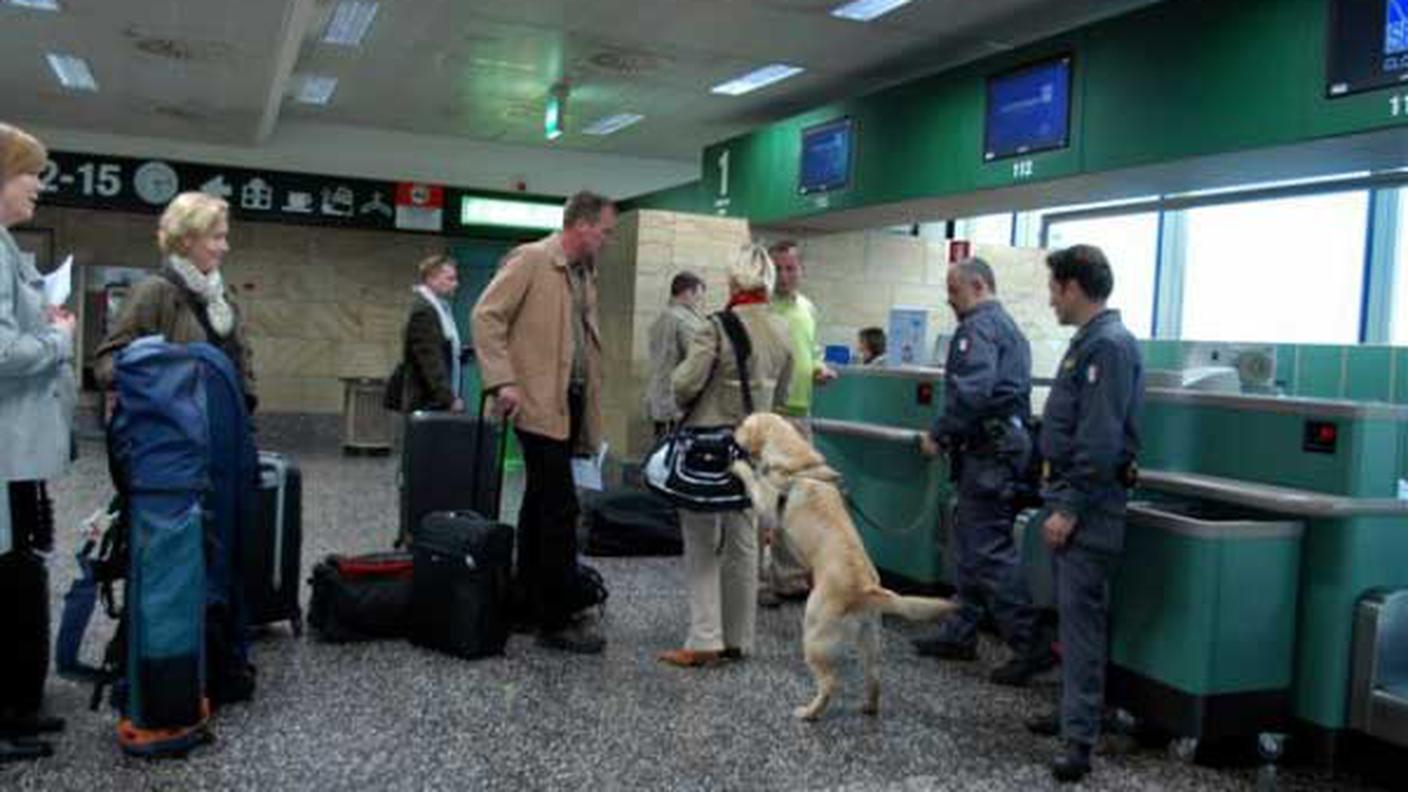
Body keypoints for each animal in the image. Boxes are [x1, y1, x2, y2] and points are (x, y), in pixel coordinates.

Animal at [737, 414, 957, 715]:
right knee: (874, 677)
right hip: (870, 641)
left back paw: (809, 713)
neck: (798, 463)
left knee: (830, 684)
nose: (732, 431)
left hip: (815, 637)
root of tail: (867, 590)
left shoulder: (767, 506)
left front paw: (737, 466)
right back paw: (868, 707)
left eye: (743, 424)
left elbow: (752, 479)